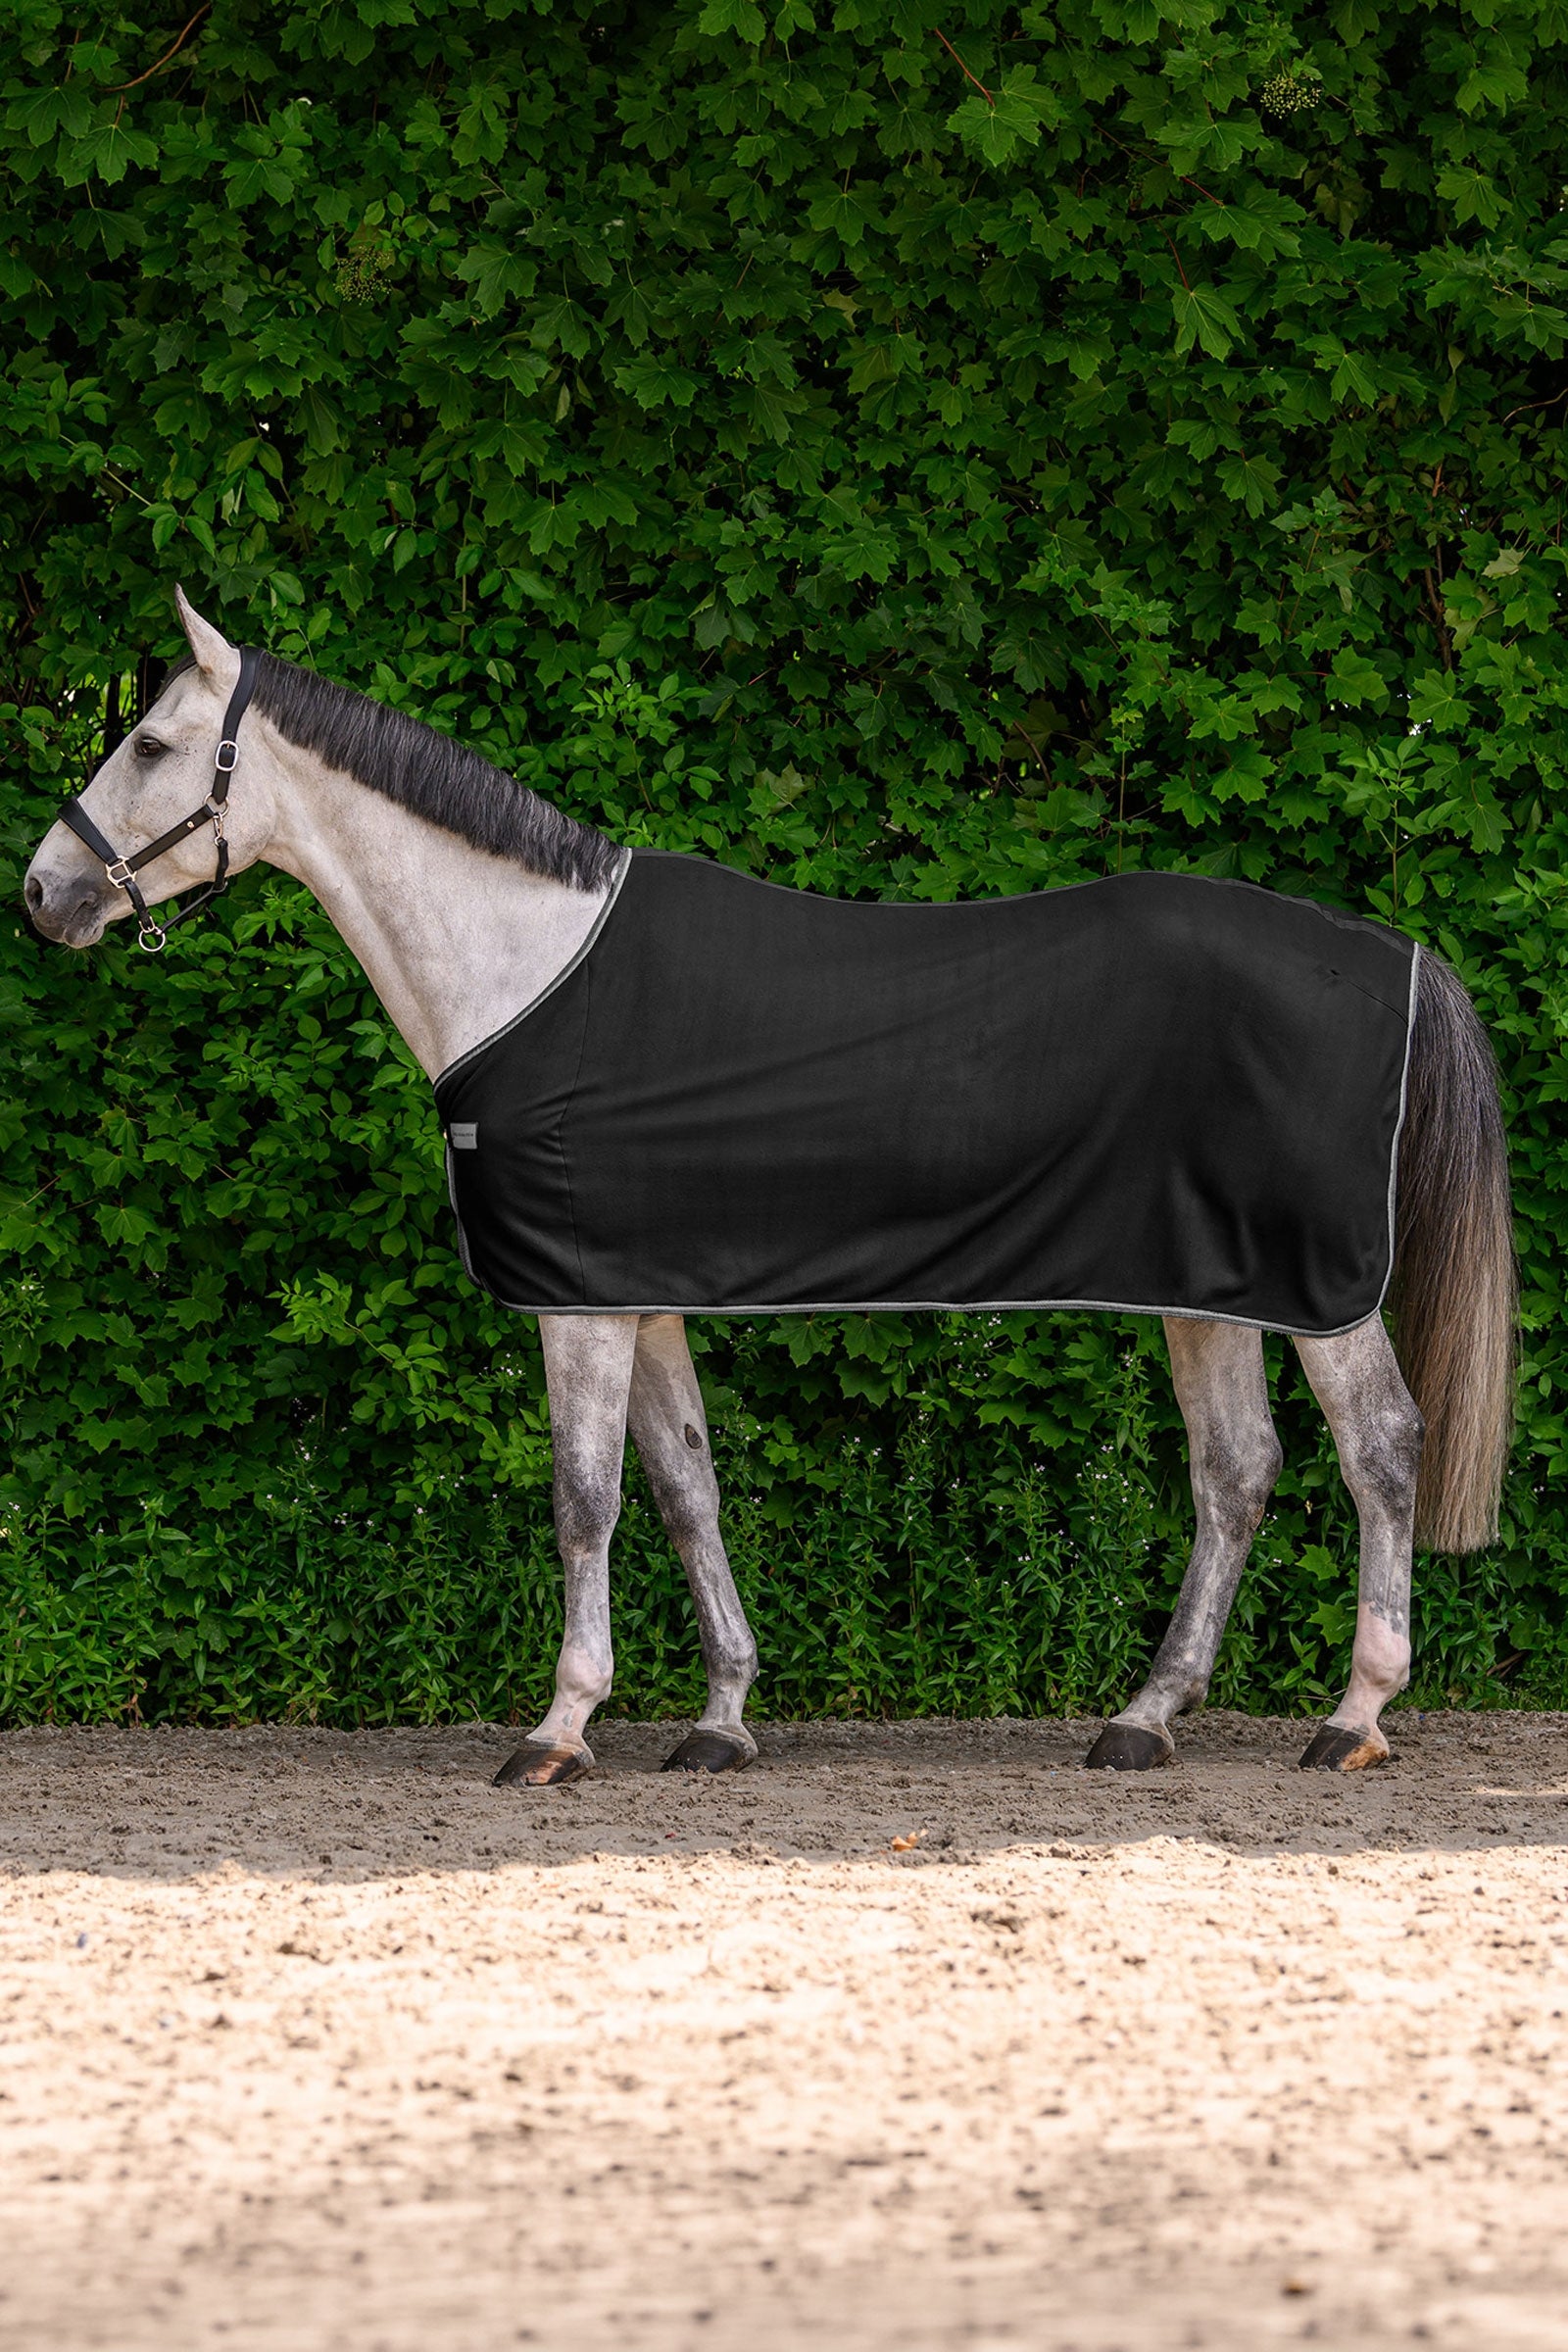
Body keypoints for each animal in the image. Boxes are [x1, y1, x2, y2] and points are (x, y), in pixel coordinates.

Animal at [23, 591, 1515, 1785]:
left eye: (149, 744)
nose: (42, 896)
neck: (526, 965)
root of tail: (1395, 954)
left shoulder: (578, 1304)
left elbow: (584, 1501)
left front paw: (558, 1732)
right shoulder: (639, 1294)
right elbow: (687, 1487)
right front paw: (721, 1719)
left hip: (1319, 1288)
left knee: (1382, 1449)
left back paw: (1352, 1717)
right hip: (1209, 1284)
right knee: (1237, 1472)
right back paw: (1143, 1720)